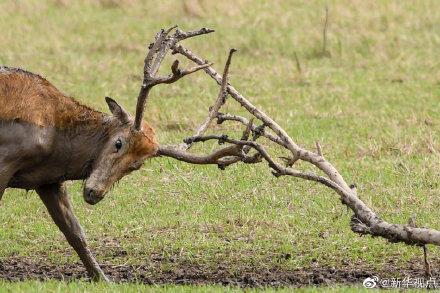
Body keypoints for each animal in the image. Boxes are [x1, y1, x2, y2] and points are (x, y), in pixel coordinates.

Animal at [0, 28, 213, 280]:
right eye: (118, 143)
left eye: (136, 165)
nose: (94, 193)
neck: (55, 141)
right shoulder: (6, 159)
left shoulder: (48, 180)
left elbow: (75, 232)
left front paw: (102, 278)